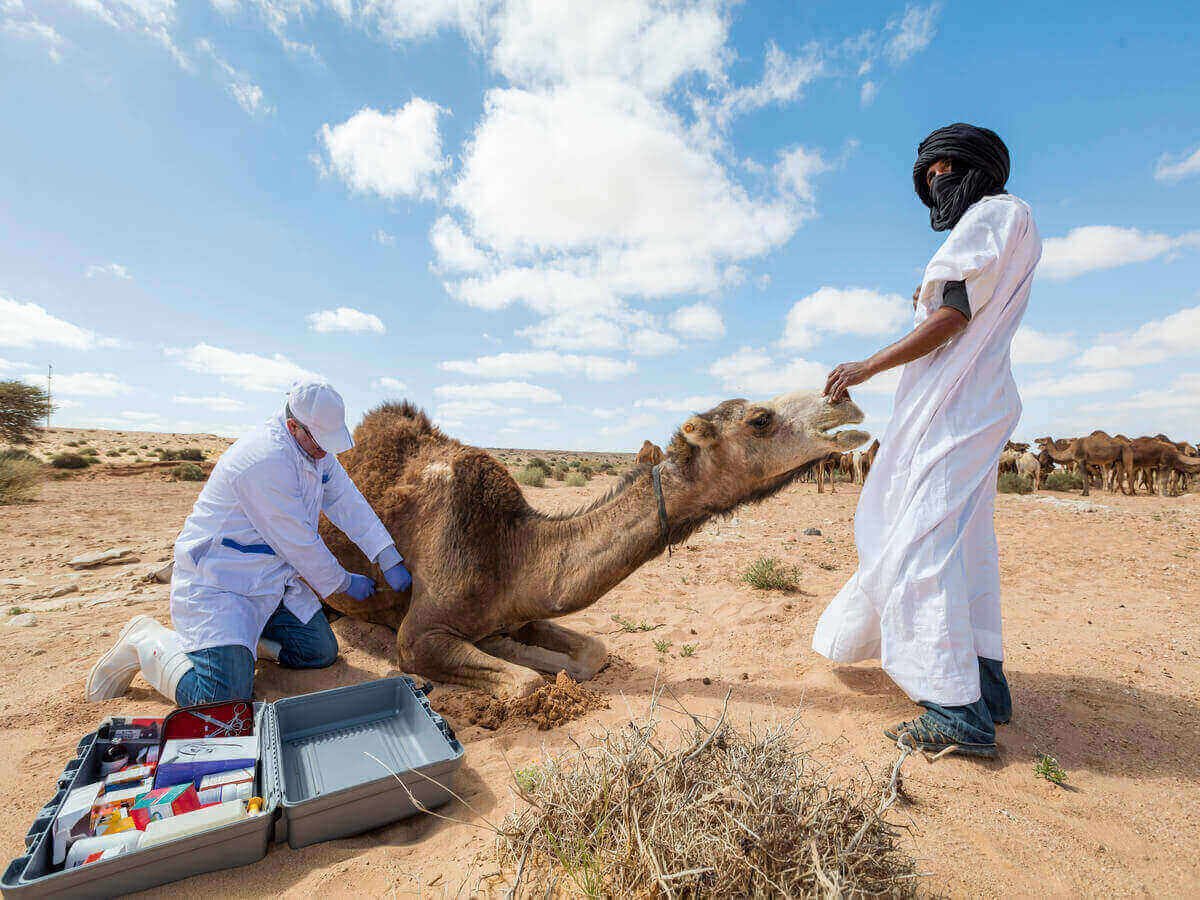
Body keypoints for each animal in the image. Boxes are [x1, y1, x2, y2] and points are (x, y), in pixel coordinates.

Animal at [319, 392, 869, 698]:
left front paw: (527, 653)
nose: (845, 401)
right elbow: (525, 684)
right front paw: (521, 662)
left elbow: (592, 654)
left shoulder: (522, 607)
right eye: (760, 419)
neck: (509, 548)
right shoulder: (418, 635)